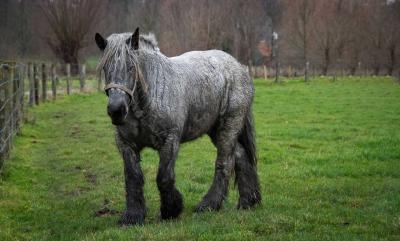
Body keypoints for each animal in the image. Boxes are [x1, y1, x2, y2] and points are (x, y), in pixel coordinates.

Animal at [95, 28, 260, 226]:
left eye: (131, 67)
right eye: (106, 68)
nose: (116, 110)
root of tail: (239, 66)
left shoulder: (170, 141)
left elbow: (164, 177)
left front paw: (171, 210)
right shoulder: (126, 144)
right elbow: (133, 176)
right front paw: (133, 216)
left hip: (229, 125)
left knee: (225, 162)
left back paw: (209, 205)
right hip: (215, 130)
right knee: (241, 156)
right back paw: (248, 201)